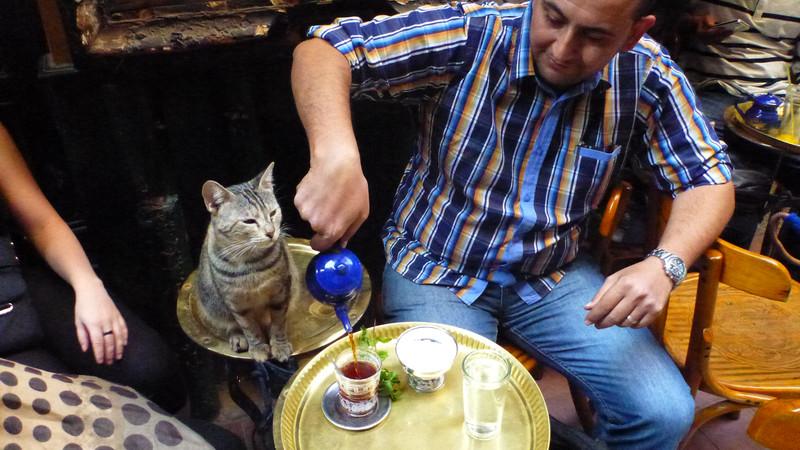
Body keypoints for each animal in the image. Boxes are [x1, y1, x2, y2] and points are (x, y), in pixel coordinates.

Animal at [195, 162, 296, 362]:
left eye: (273, 213)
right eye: (249, 221)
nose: (271, 232)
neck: (251, 263)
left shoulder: (280, 292)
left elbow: (278, 323)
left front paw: (279, 345)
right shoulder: (236, 303)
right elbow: (250, 328)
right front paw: (258, 348)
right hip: (213, 304)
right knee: (231, 324)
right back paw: (238, 337)